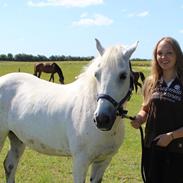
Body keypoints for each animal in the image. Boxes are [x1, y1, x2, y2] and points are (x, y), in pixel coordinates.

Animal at [0, 38, 138, 183]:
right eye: (96, 74)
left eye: (123, 75)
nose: (101, 119)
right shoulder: (80, 162)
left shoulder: (103, 161)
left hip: (17, 137)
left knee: (10, 165)